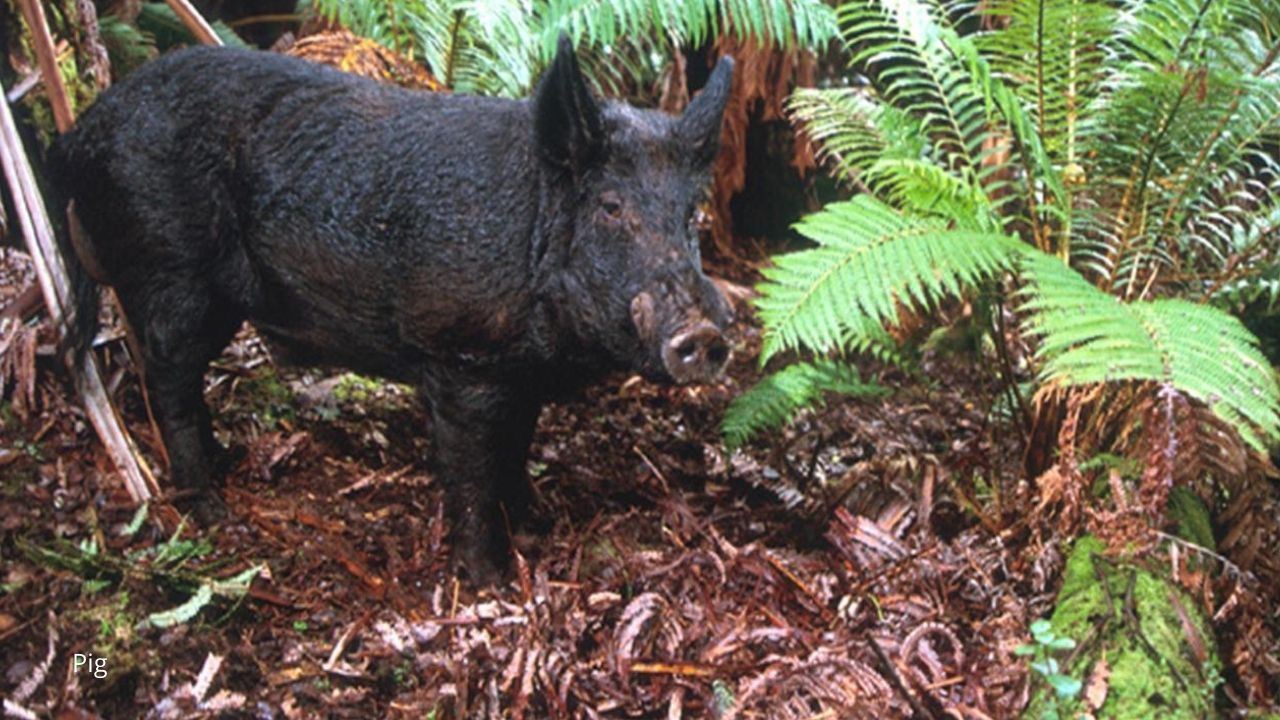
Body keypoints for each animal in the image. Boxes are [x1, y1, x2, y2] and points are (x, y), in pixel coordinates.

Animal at [49, 36, 737, 579]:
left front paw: (534, 528)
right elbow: (472, 473)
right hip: (169, 270)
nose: (705, 333)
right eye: (611, 207)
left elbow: (516, 449)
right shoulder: (460, 358)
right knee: (166, 377)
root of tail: (80, 131)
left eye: (690, 216)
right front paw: (490, 581)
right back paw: (210, 510)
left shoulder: (518, 373)